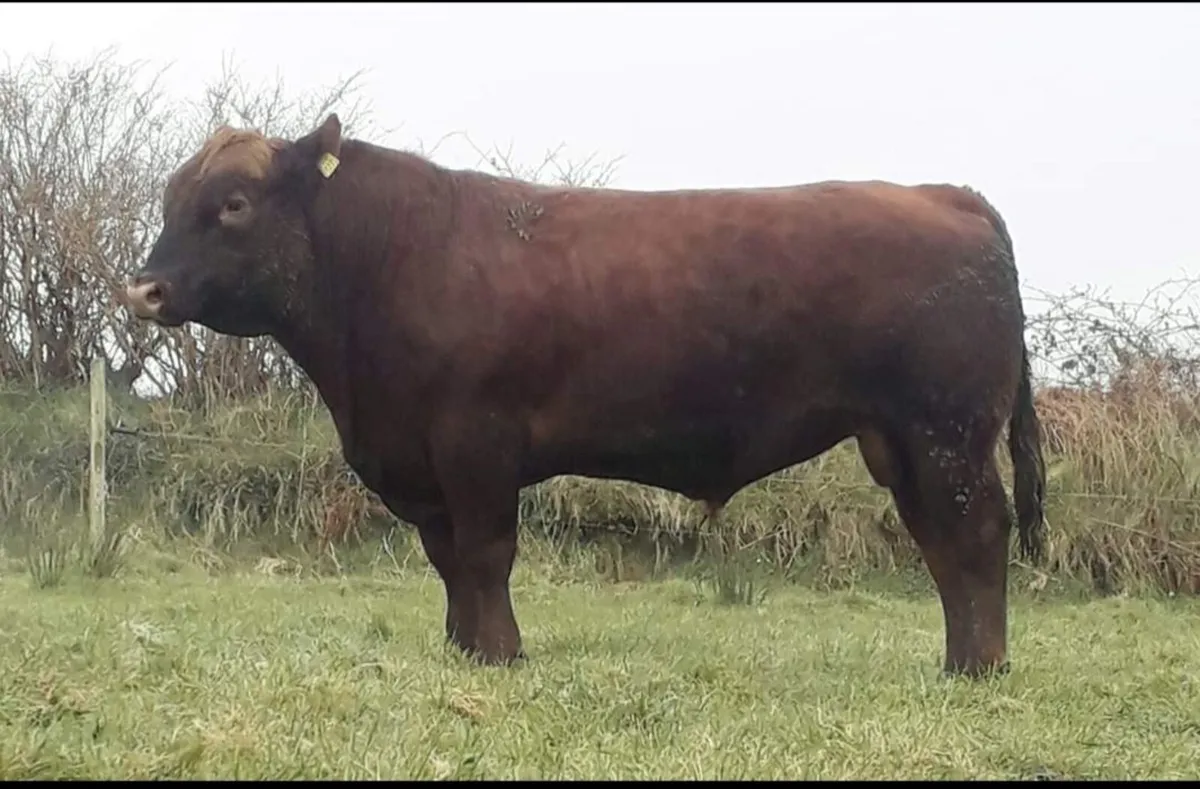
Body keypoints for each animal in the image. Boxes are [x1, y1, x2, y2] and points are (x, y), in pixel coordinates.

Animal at [125, 114, 1046, 679]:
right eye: (170, 201)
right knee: (941, 541)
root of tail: (943, 193)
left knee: (975, 533)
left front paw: (499, 653)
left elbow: (485, 553)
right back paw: (960, 659)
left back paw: (982, 666)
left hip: (947, 430)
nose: (144, 289)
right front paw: (461, 649)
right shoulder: (418, 460)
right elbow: (445, 558)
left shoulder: (476, 440)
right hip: (904, 441)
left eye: (232, 204)